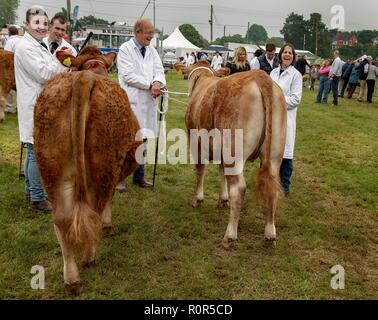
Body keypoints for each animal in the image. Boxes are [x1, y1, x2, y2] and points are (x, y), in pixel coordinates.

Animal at [32, 46, 141, 294]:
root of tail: (84, 78)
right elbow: (110, 198)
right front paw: (109, 226)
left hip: (51, 168)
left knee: (62, 219)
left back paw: (72, 279)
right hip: (104, 166)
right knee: (94, 211)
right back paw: (90, 257)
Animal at [185, 62, 286, 248]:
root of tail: (261, 77)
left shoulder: (196, 142)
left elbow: (200, 170)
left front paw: (198, 199)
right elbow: (221, 172)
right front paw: (223, 200)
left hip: (234, 151)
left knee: (239, 188)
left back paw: (230, 235)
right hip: (274, 155)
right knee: (272, 187)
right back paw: (270, 234)